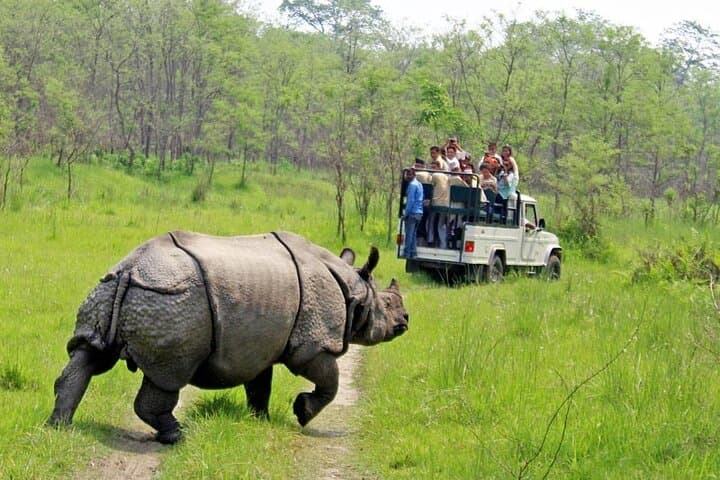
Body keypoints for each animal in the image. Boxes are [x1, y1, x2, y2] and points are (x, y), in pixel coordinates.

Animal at [47, 231, 408, 443]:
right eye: (388, 305)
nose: (405, 321)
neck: (354, 290)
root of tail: (131, 269)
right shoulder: (313, 343)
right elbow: (329, 381)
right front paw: (303, 412)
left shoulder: (260, 346)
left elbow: (260, 385)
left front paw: (260, 420)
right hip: (173, 300)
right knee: (169, 375)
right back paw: (177, 436)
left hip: (109, 290)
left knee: (89, 356)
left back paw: (58, 427)